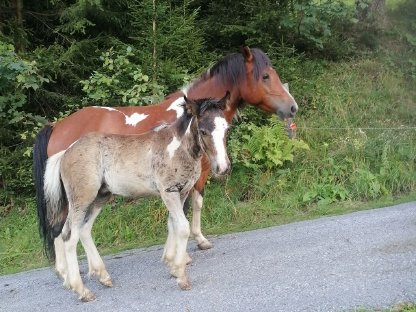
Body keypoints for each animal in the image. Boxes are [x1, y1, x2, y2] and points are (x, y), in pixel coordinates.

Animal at [33, 46, 300, 256]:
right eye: (265, 76)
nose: (292, 107)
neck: (191, 116)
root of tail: (57, 125)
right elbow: (187, 209)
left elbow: (196, 204)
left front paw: (197, 241)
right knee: (61, 230)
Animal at [42, 94, 231, 302]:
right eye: (204, 131)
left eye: (226, 129)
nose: (223, 168)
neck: (177, 148)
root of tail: (65, 152)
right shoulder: (169, 192)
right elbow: (182, 228)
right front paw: (181, 276)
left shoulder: (181, 193)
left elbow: (172, 224)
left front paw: (172, 265)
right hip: (81, 200)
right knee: (68, 236)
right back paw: (81, 289)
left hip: (100, 197)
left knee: (84, 230)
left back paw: (102, 276)